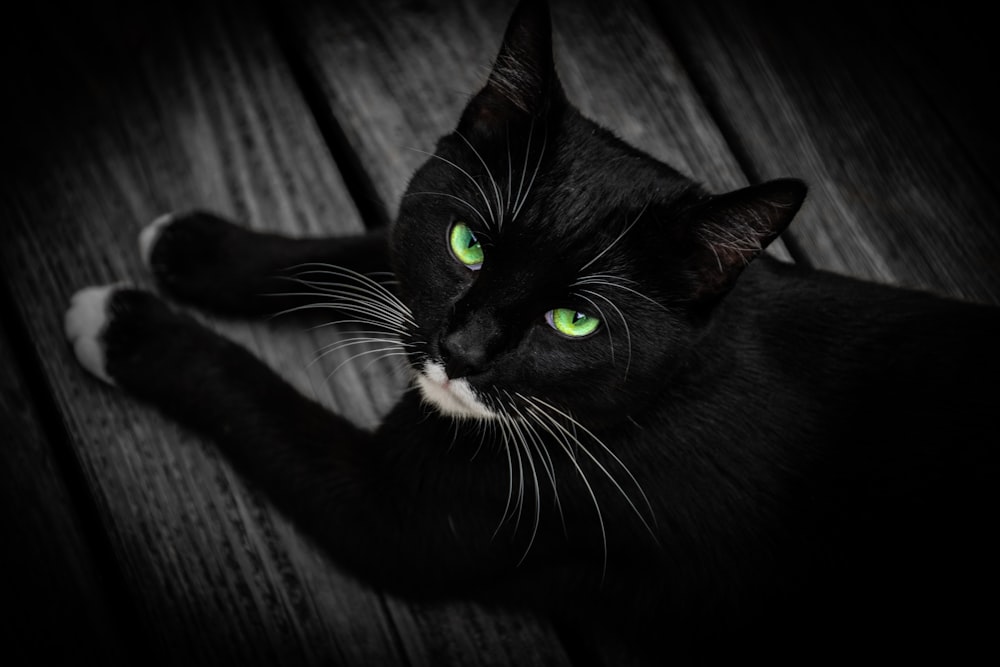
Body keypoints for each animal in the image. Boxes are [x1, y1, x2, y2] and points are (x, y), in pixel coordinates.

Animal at [66, 2, 996, 664]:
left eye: (574, 320)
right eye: (467, 243)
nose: (463, 351)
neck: (672, 390)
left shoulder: (401, 518)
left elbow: (249, 393)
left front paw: (121, 321)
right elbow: (364, 248)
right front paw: (197, 245)